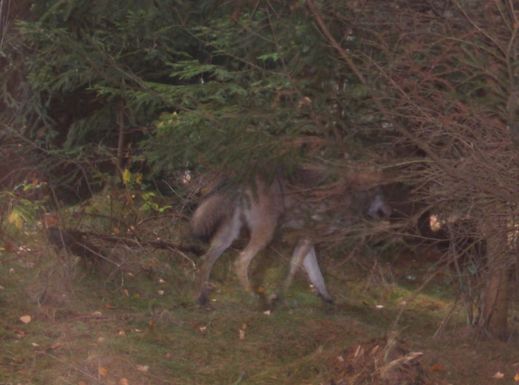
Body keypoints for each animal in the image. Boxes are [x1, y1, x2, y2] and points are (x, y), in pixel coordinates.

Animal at [191, 175, 390, 306]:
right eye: (383, 196)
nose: (391, 213)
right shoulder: (308, 237)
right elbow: (294, 269)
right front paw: (277, 297)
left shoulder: (306, 239)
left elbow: (316, 274)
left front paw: (327, 298)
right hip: (264, 234)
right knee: (240, 261)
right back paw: (252, 296)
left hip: (229, 235)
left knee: (207, 259)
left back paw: (202, 298)